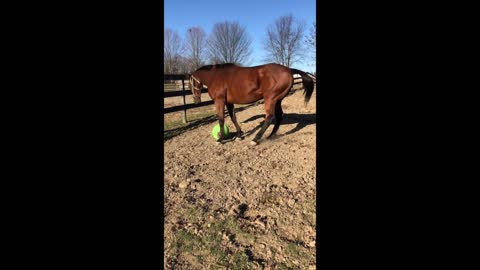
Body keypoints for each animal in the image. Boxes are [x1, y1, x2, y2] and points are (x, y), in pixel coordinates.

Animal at [188, 62, 316, 146]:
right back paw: (270, 136)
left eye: (190, 84)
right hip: (277, 100)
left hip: (270, 99)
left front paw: (221, 139)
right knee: (279, 116)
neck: (215, 76)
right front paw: (239, 135)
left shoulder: (219, 101)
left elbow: (221, 119)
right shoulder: (229, 102)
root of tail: (289, 70)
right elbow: (233, 118)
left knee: (269, 117)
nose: (196, 101)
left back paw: (255, 139)